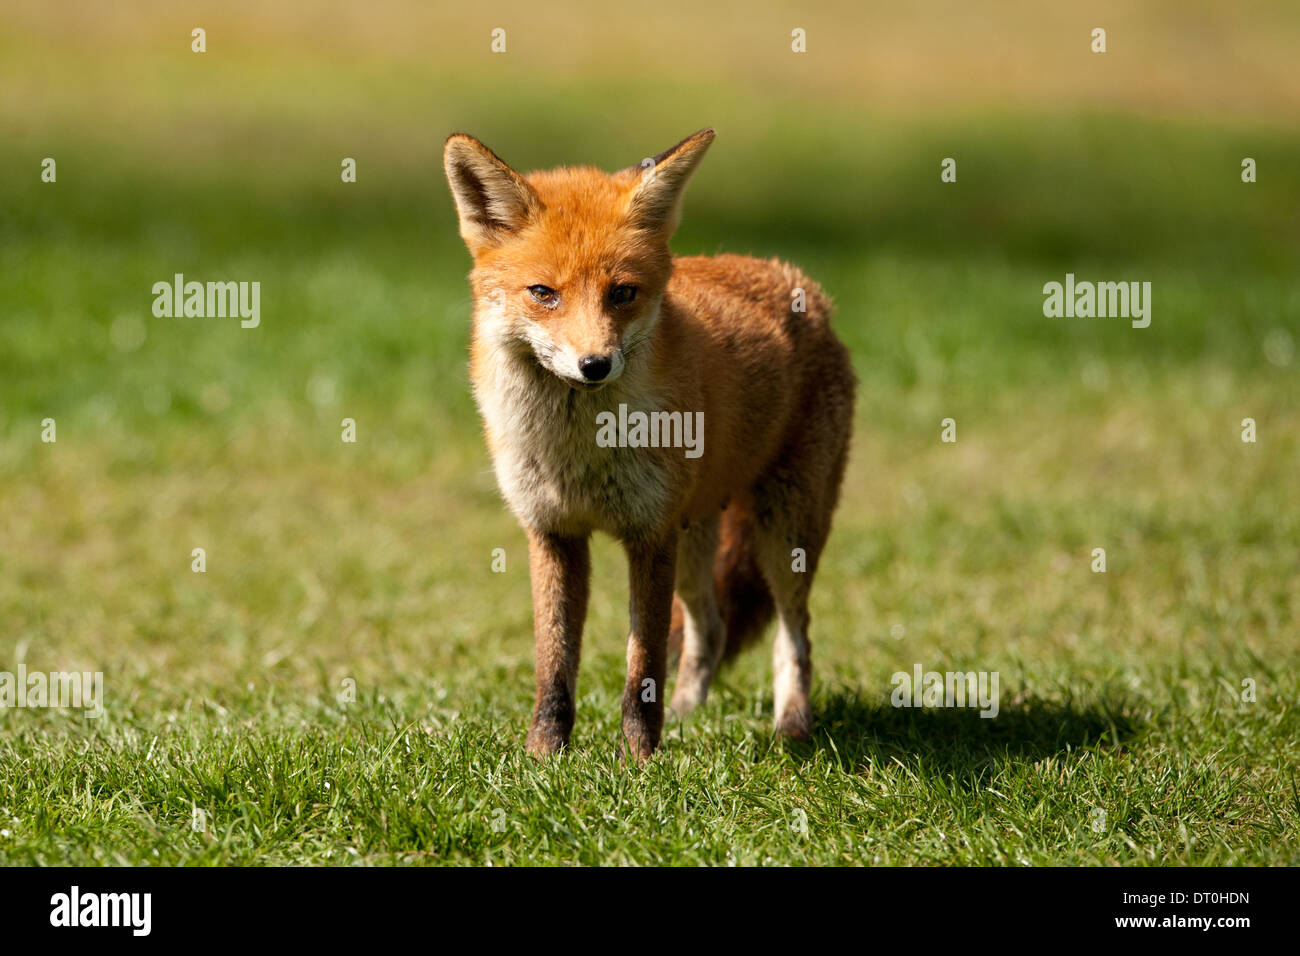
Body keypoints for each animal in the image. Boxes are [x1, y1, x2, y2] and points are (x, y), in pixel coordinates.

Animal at [443, 128, 855, 761]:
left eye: (622, 293)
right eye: (543, 292)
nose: (594, 365)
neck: (579, 452)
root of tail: (800, 283)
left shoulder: (650, 534)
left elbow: (642, 667)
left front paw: (637, 760)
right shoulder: (553, 532)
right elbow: (554, 661)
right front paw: (544, 755)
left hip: (783, 531)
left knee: (796, 636)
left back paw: (791, 728)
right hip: (697, 537)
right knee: (710, 628)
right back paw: (688, 716)